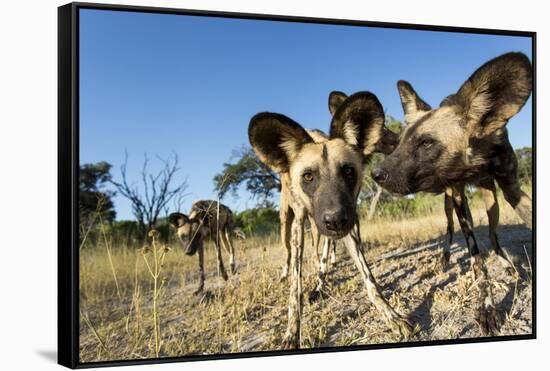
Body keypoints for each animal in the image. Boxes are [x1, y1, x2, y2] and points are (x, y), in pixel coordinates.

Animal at [250, 91, 414, 350]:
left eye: (348, 171)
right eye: (308, 177)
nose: (335, 220)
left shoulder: (349, 224)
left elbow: (369, 278)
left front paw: (391, 315)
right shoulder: (301, 225)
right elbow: (295, 289)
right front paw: (291, 332)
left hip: (320, 228)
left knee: (322, 251)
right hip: (288, 224)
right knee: (289, 253)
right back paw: (289, 274)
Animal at [376, 53, 536, 338]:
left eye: (426, 143)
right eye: (401, 142)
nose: (376, 174)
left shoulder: (512, 189)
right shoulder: (460, 197)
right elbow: (477, 260)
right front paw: (486, 306)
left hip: (492, 201)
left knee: (493, 237)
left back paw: (507, 264)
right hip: (451, 205)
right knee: (453, 231)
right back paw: (445, 259)